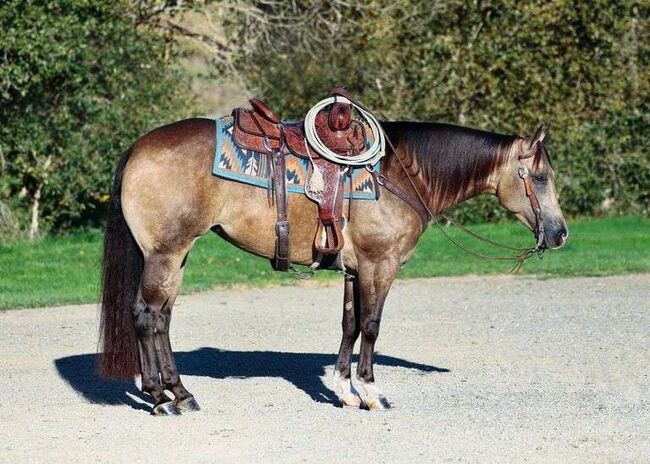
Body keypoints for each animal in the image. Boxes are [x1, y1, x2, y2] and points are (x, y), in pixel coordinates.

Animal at [97, 96, 568, 416]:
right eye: (540, 177)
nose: (560, 233)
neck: (402, 174)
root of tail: (138, 148)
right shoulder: (381, 265)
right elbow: (372, 327)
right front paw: (372, 392)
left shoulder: (354, 270)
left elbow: (350, 325)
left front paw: (344, 390)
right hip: (165, 253)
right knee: (147, 316)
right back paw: (162, 397)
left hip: (174, 257)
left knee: (161, 318)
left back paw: (177, 393)